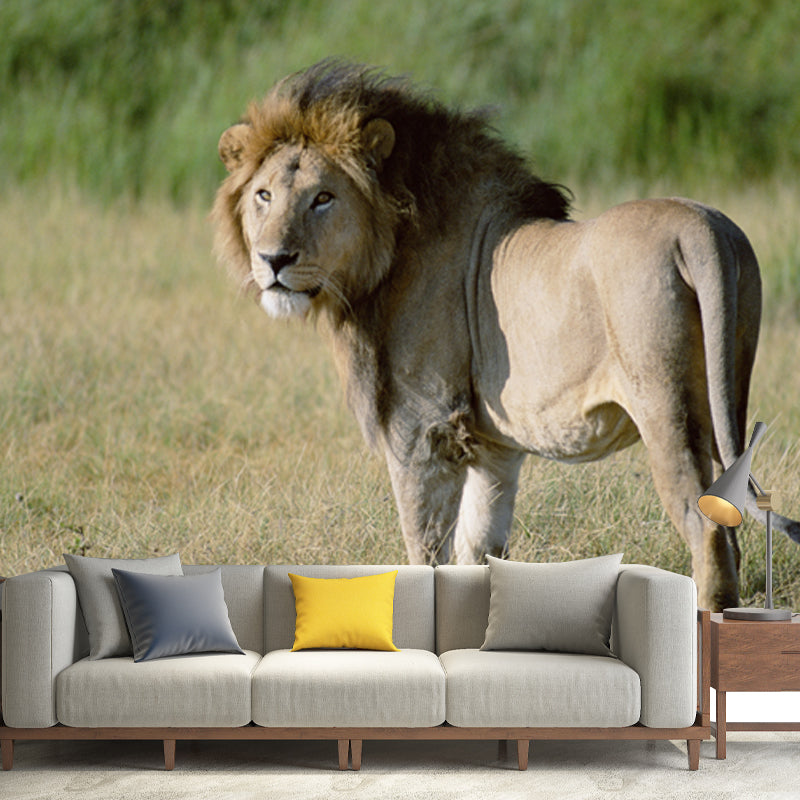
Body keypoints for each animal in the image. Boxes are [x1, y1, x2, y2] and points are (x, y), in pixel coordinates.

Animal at [212, 60, 800, 611]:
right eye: (263, 196)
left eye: (323, 198)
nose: (274, 259)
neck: (387, 252)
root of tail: (698, 229)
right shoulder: (494, 446)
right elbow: (479, 548)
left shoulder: (423, 428)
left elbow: (424, 549)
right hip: (726, 396)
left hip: (665, 409)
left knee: (708, 527)